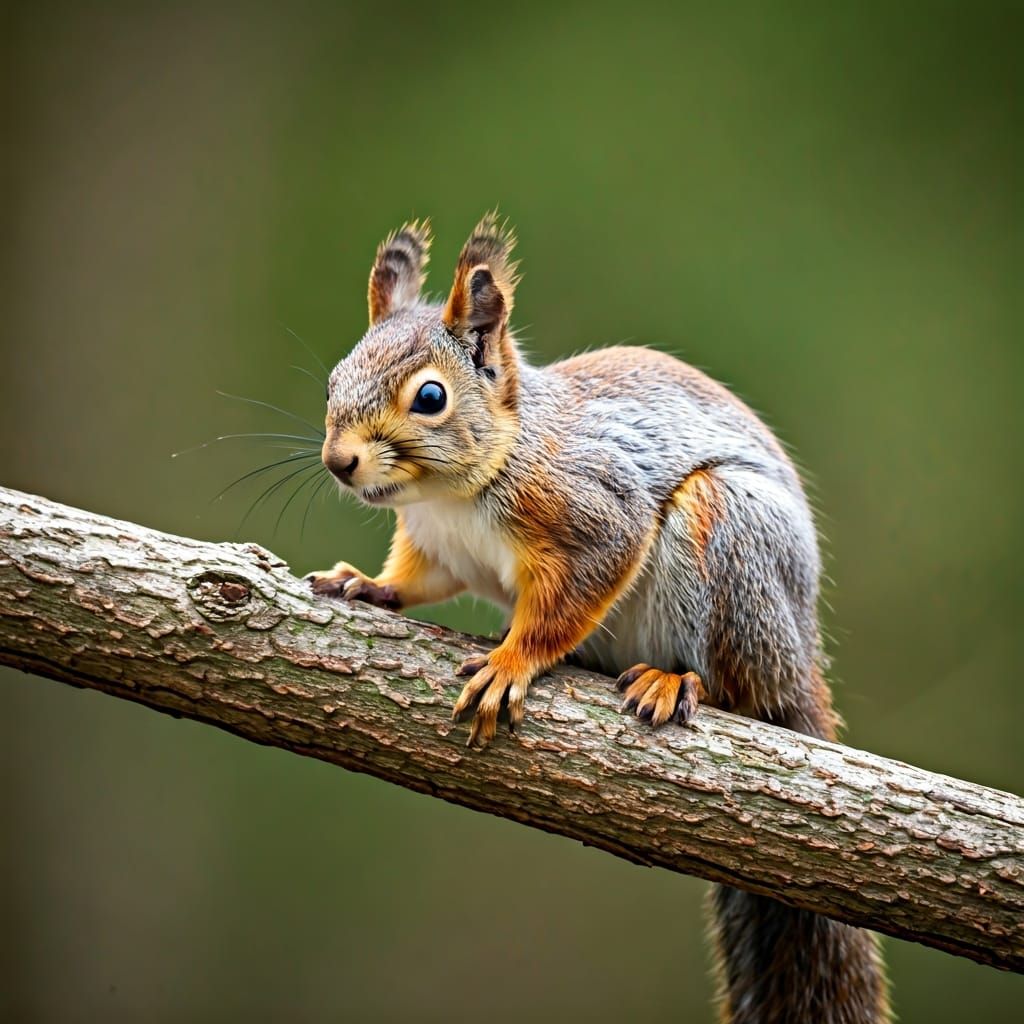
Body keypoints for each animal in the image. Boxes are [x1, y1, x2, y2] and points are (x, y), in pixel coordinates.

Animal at [308, 213, 891, 1023]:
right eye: (334, 379)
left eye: (429, 396)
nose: (339, 462)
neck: (456, 493)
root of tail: (801, 655)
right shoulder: (437, 547)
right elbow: (417, 580)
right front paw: (364, 584)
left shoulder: (595, 515)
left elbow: (570, 601)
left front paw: (511, 662)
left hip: (729, 545)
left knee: (742, 691)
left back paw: (679, 683)